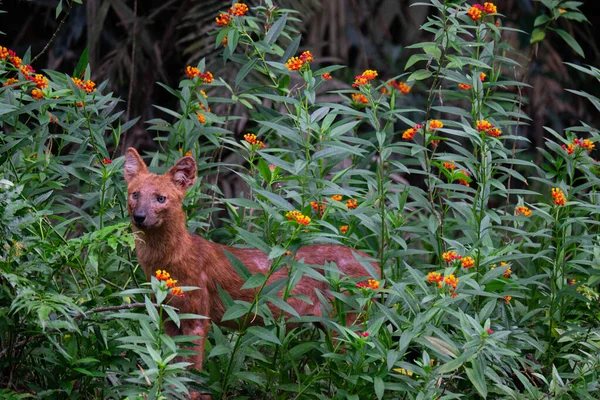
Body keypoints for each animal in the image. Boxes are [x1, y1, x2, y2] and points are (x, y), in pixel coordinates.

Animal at [124, 148, 382, 372]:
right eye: (135, 194)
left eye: (161, 198)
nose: (139, 216)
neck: (169, 262)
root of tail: (377, 264)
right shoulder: (167, 315)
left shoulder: (197, 317)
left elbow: (191, 376)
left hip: (347, 326)